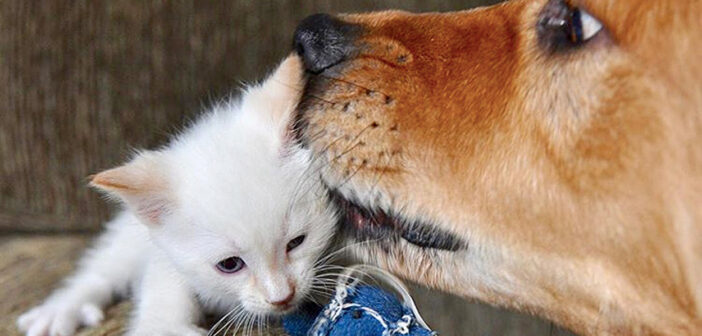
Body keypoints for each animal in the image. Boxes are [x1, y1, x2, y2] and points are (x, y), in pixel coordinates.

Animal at [16, 56, 336, 334]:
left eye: (297, 242)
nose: (281, 297)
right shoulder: (162, 250)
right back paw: (61, 309)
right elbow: (165, 276)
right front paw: (163, 326)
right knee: (105, 266)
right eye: (229, 265)